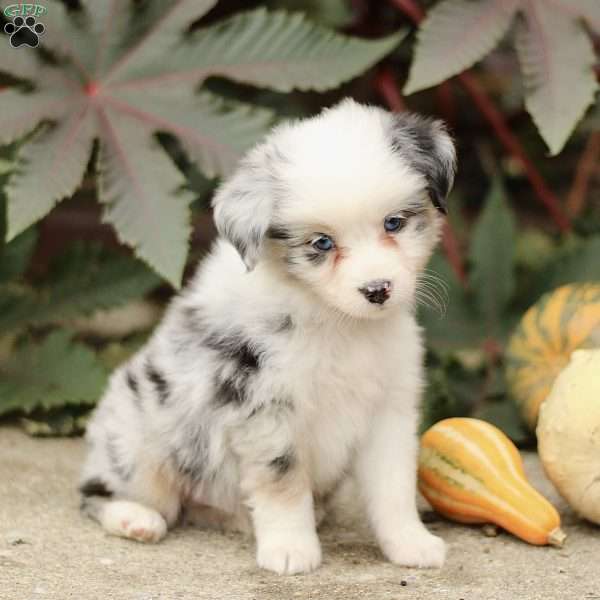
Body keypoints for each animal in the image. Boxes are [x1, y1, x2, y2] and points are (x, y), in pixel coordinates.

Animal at [78, 99, 454, 576]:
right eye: (321, 243)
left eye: (394, 223)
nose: (377, 290)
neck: (337, 323)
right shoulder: (265, 405)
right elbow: (283, 482)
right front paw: (291, 549)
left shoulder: (389, 407)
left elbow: (394, 487)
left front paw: (411, 544)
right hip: (140, 444)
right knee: (97, 493)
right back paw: (135, 519)